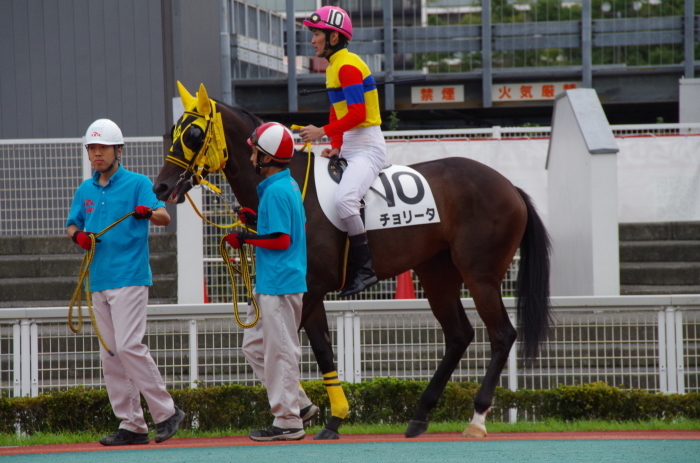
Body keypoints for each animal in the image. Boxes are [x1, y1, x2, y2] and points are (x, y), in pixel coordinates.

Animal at [154, 81, 552, 440]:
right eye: (170, 132)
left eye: (192, 134)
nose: (160, 186)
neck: (288, 181)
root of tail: (510, 186)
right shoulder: (309, 290)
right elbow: (320, 351)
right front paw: (324, 415)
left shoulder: (311, 287)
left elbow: (286, 348)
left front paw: (303, 415)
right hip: (436, 272)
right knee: (458, 335)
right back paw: (420, 416)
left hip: (480, 274)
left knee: (502, 334)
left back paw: (478, 418)